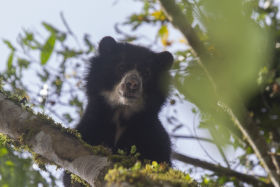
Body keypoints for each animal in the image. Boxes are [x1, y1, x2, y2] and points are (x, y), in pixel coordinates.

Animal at [63, 36, 173, 186]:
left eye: (146, 73)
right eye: (121, 67)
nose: (132, 84)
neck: (122, 113)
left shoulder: (153, 136)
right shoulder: (90, 126)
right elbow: (70, 178)